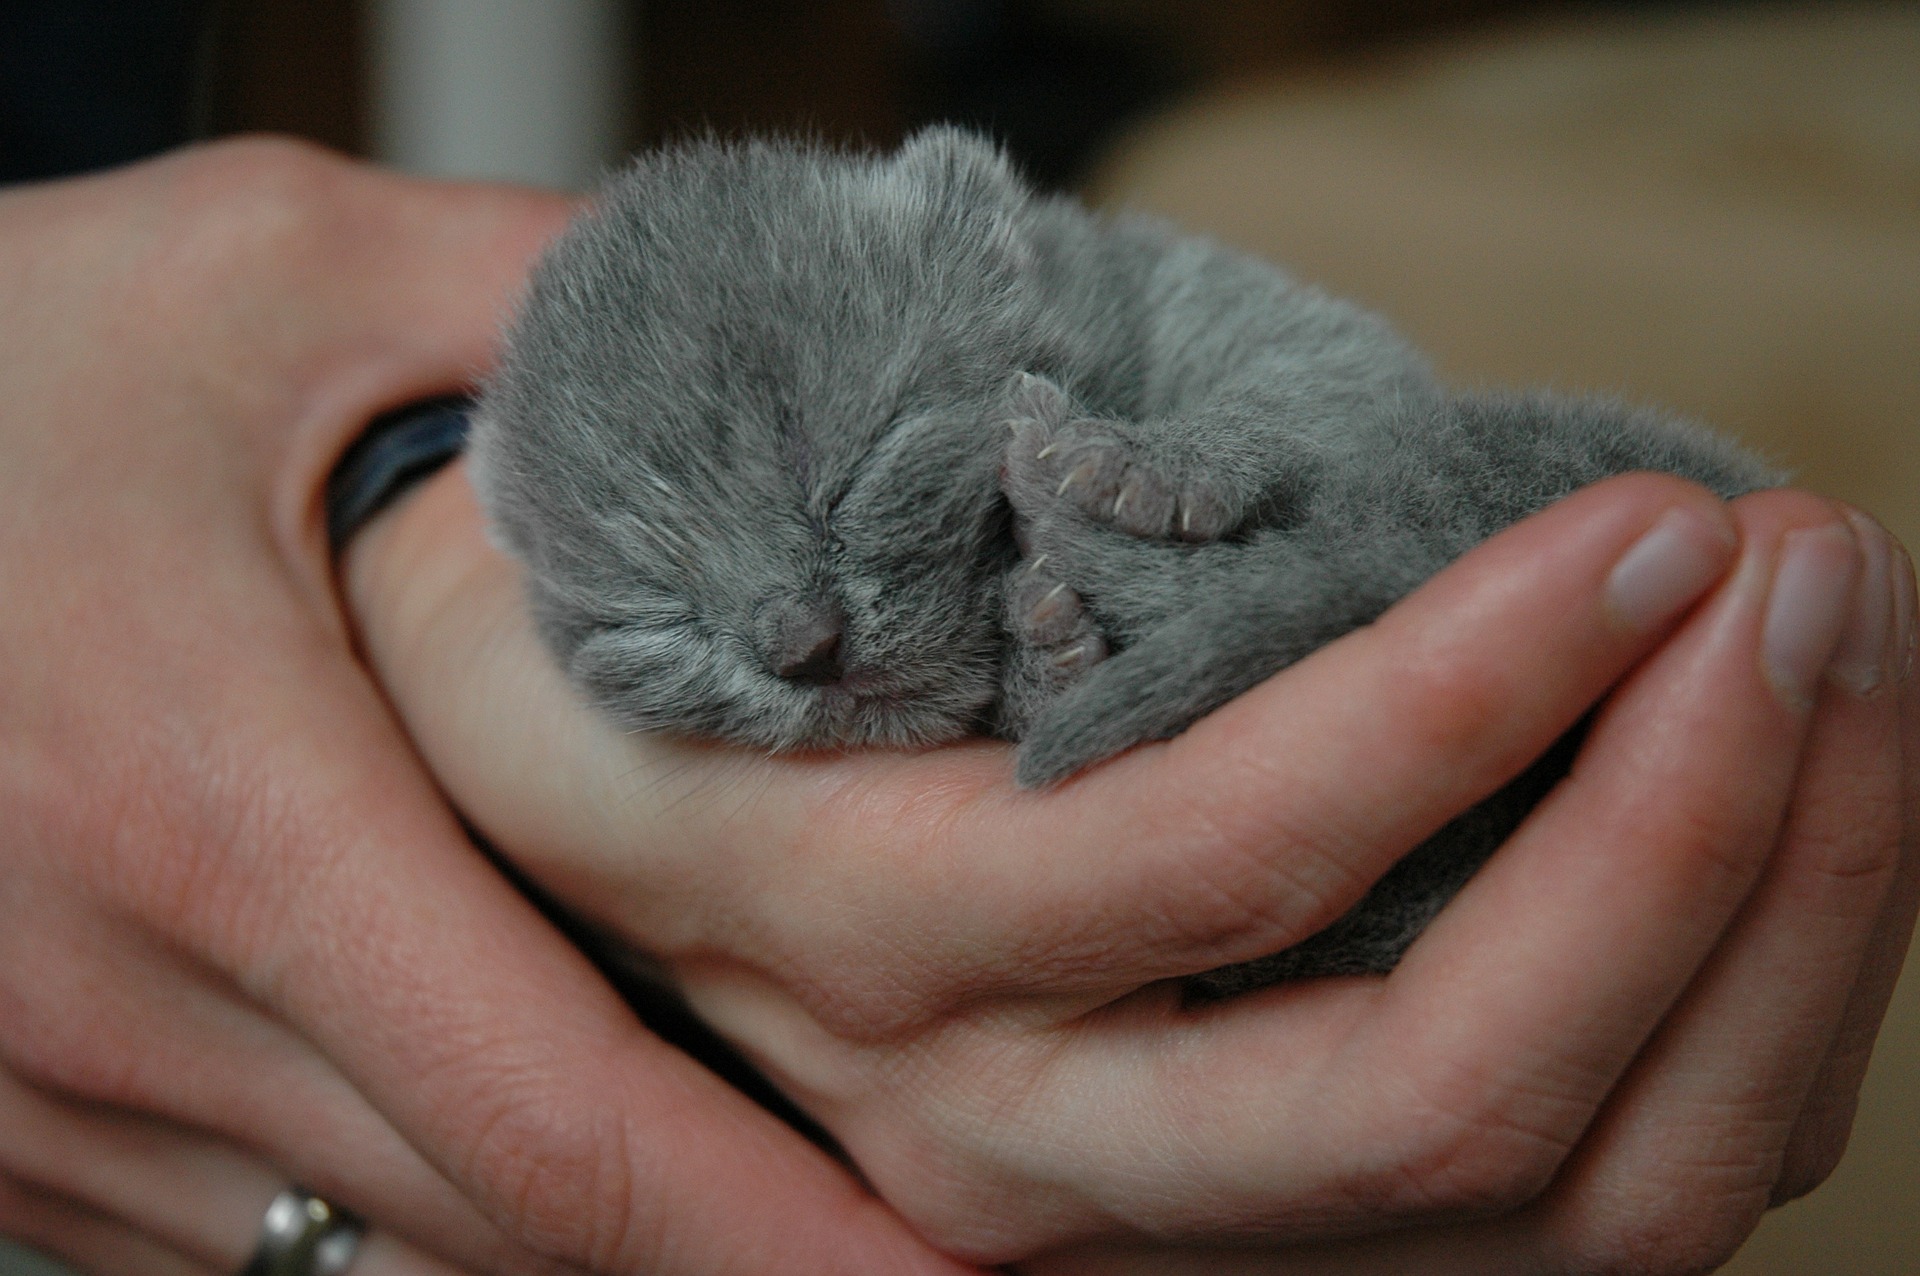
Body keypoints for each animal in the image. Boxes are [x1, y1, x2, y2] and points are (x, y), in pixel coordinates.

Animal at [472, 124, 1774, 990]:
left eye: (851, 466)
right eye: (651, 619)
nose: (798, 644)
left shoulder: (1292, 332)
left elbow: (1300, 382)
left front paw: (1148, 465)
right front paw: (1046, 645)